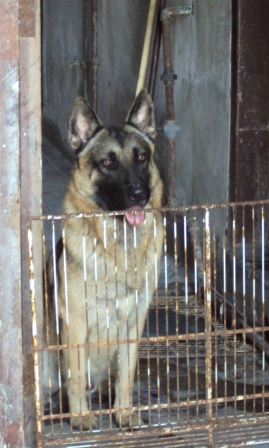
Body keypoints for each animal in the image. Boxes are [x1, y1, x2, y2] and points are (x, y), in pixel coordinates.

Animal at [46, 89, 161, 428]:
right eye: (108, 162)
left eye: (141, 157)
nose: (139, 194)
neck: (117, 248)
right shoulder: (76, 324)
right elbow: (75, 375)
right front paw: (81, 416)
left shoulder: (134, 323)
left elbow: (126, 375)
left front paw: (122, 412)